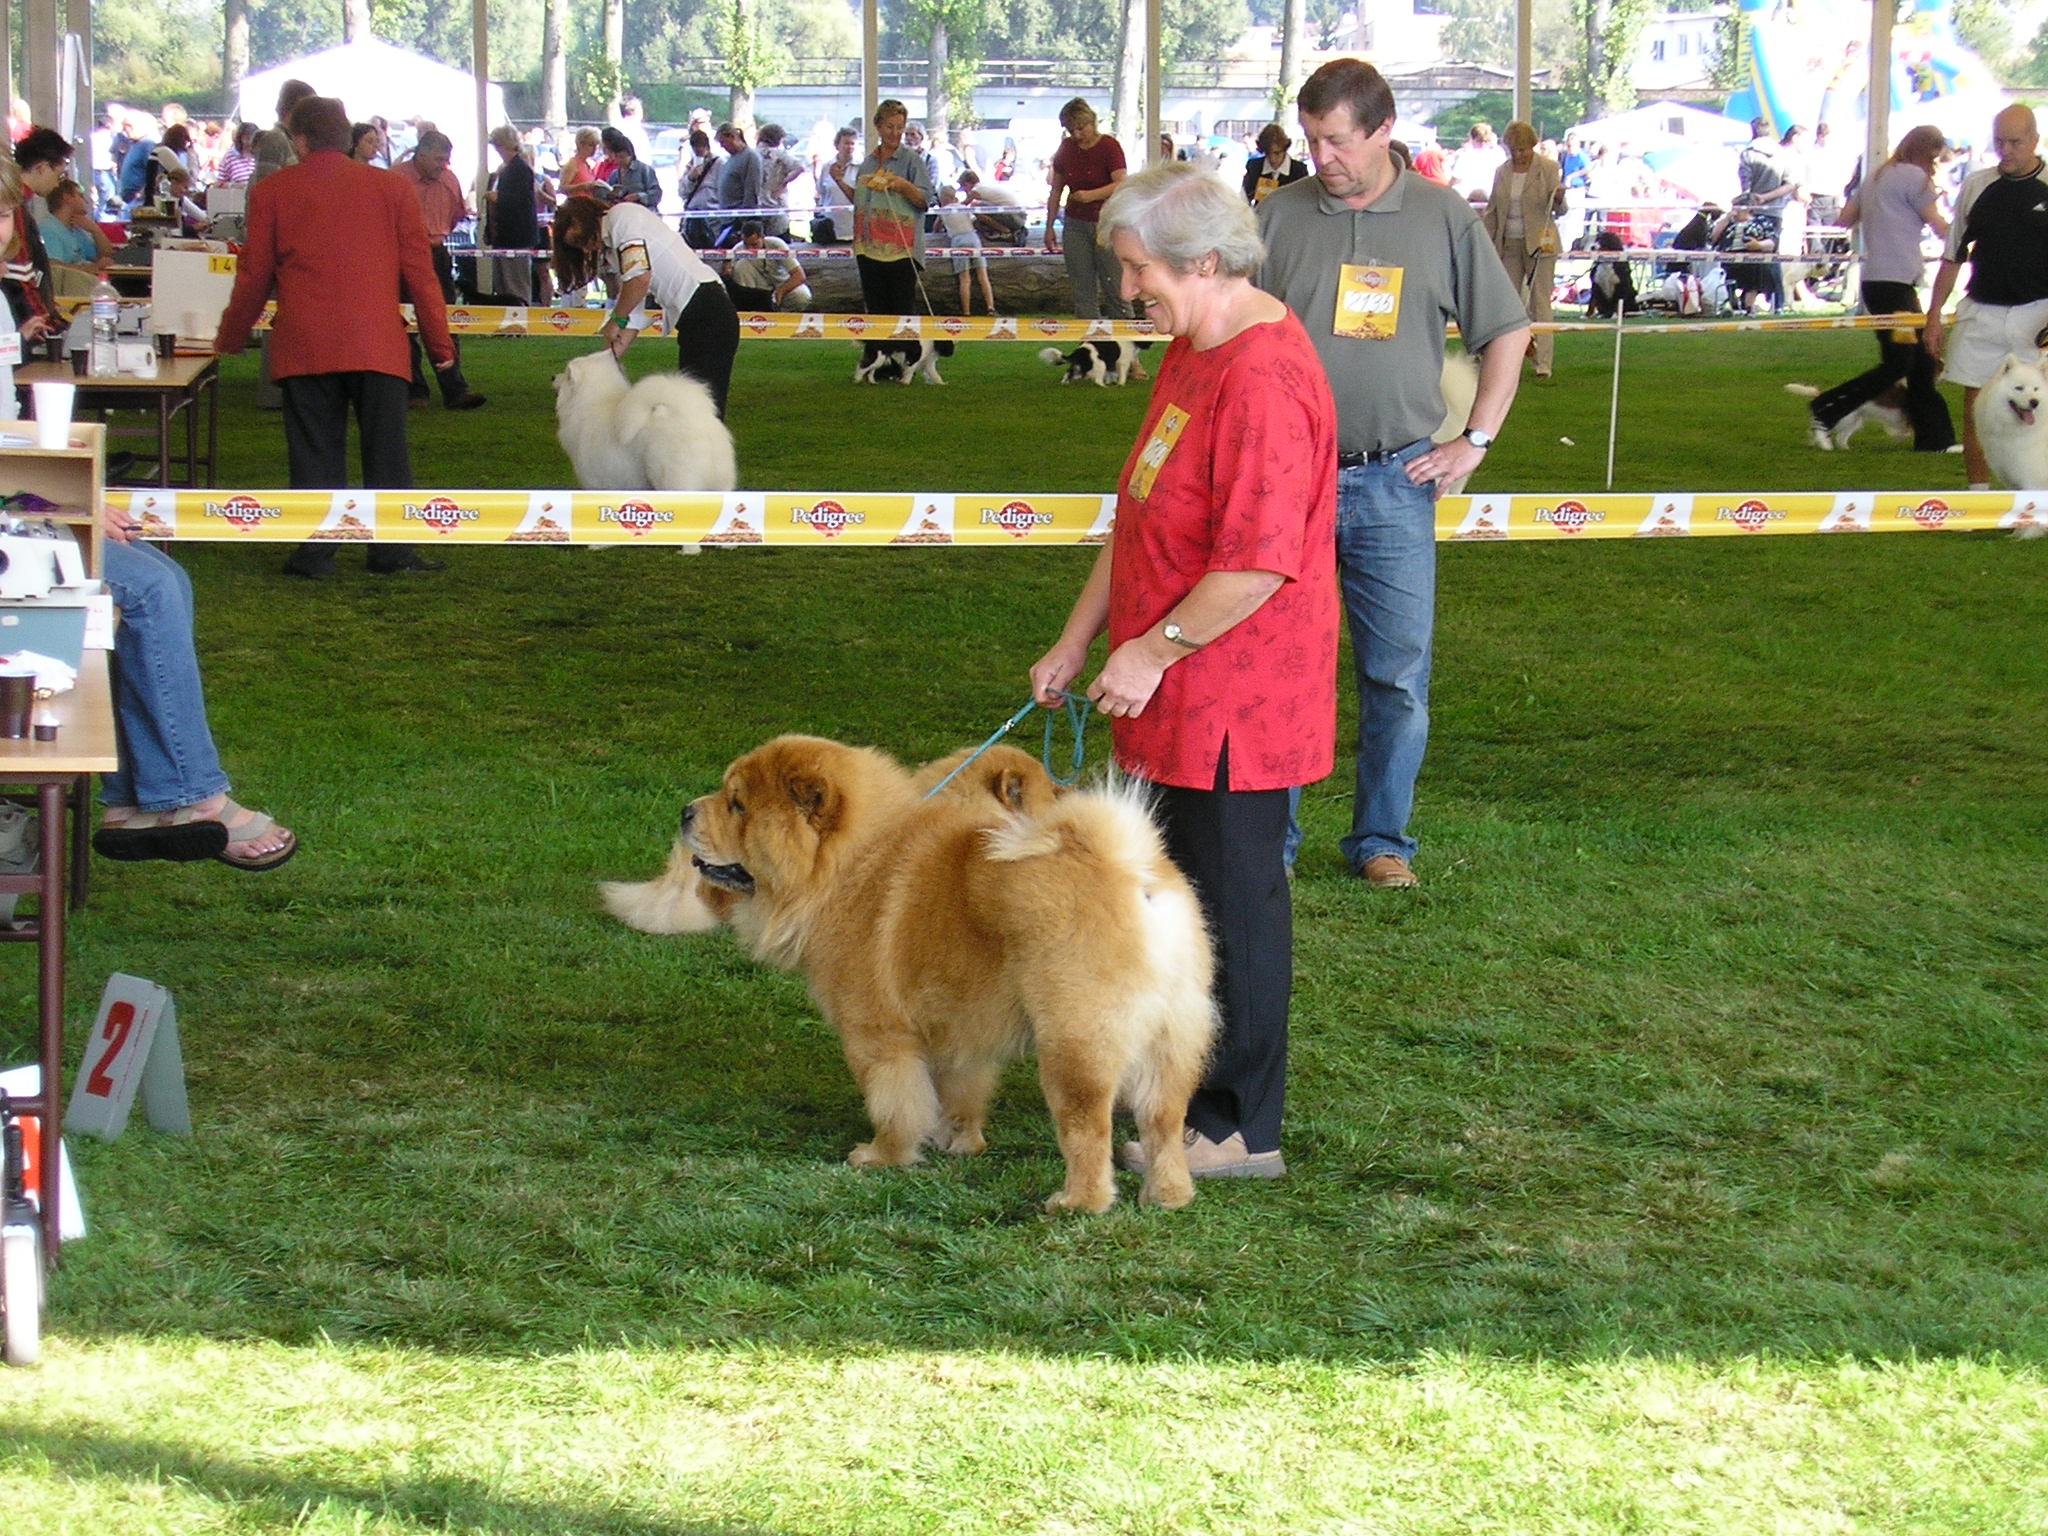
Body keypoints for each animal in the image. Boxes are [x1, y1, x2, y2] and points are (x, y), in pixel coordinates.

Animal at [606, 741, 1212, 1220]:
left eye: (737, 805)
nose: (686, 811)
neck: (848, 865)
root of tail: (1129, 868)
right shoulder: (957, 1030)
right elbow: (956, 1093)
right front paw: (958, 1143)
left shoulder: (874, 1033)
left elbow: (894, 1102)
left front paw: (882, 1157)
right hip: (1175, 1036)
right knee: (1162, 1120)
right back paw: (1168, 1195)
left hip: (1074, 1038)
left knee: (1088, 1125)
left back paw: (1078, 1202)